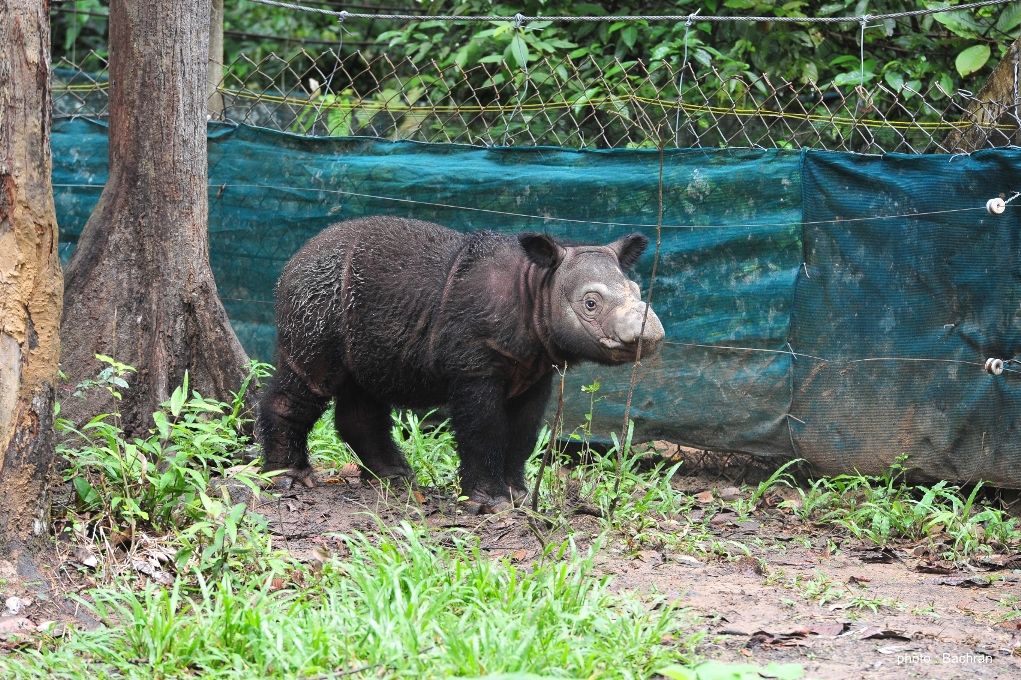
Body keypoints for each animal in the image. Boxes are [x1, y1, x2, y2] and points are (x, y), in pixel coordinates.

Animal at [259, 214, 665, 510]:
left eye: (637, 291)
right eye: (591, 303)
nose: (650, 334)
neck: (537, 286)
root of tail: (295, 257)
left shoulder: (534, 369)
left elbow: (523, 432)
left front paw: (518, 496)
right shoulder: (475, 363)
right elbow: (484, 429)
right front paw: (490, 504)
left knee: (364, 386)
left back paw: (396, 479)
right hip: (316, 292)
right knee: (310, 376)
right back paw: (289, 479)